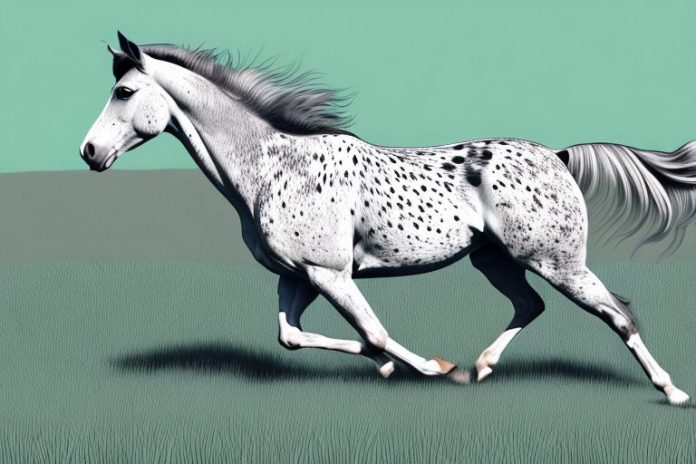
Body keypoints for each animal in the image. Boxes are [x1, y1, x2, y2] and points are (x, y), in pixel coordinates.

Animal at [81, 32, 693, 405]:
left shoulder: (330, 274)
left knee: (618, 314)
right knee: (531, 305)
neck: (273, 164)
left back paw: (671, 392)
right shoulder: (299, 276)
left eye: (124, 90)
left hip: (555, 260)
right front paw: (391, 368)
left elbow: (373, 330)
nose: (89, 152)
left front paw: (433, 368)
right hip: (496, 261)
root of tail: (560, 156)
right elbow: (291, 337)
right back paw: (483, 367)